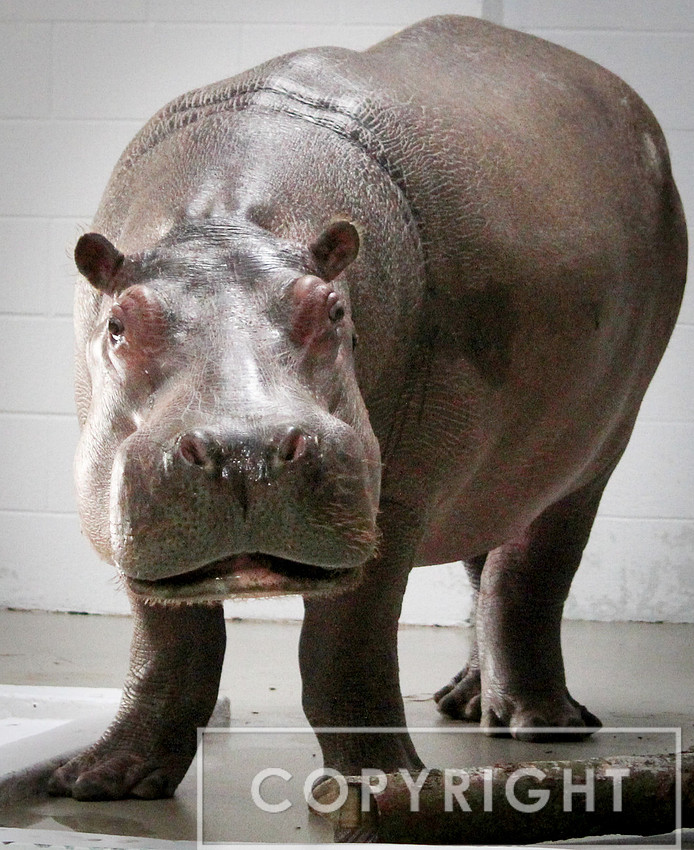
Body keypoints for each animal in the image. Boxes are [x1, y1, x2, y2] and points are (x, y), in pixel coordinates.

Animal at [49, 15, 686, 801]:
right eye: (116, 323)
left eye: (333, 309)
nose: (244, 453)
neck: (228, 227)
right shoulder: (124, 507)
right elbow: (170, 644)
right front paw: (103, 781)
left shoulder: (399, 497)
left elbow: (345, 646)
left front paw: (384, 789)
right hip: (495, 466)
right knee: (486, 553)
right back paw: (467, 701)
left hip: (594, 446)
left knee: (531, 573)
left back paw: (545, 726)